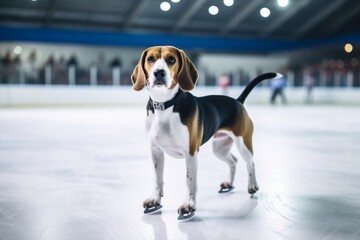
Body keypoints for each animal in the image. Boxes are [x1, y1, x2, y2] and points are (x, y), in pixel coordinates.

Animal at [131, 46, 278, 220]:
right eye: (150, 59)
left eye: (171, 59)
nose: (159, 73)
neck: (165, 105)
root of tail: (237, 101)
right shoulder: (156, 152)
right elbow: (157, 179)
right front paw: (155, 201)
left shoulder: (190, 153)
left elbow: (190, 181)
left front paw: (188, 206)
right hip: (219, 148)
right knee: (233, 161)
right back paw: (229, 184)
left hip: (243, 143)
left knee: (250, 163)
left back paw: (253, 186)